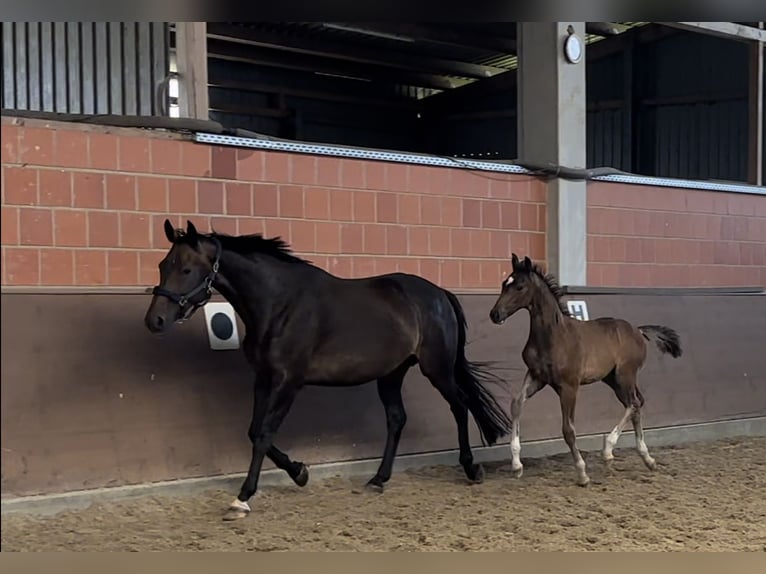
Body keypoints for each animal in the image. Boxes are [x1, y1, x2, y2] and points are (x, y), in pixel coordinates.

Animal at [492, 256, 684, 486]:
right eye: (504, 284)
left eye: (520, 286)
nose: (495, 314)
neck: (554, 336)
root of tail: (638, 330)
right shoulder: (537, 377)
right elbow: (516, 403)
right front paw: (517, 465)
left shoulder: (569, 386)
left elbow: (568, 429)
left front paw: (582, 473)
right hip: (612, 380)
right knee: (636, 405)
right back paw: (646, 458)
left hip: (625, 375)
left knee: (634, 403)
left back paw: (609, 452)